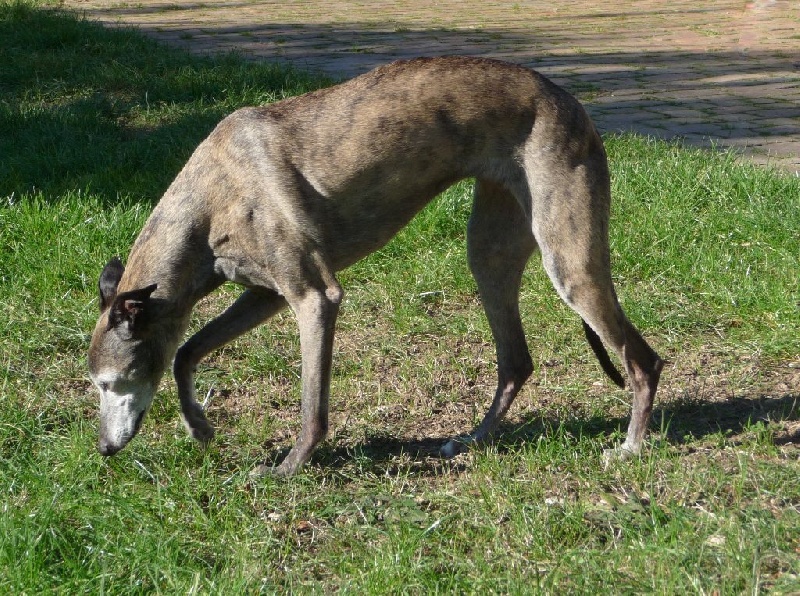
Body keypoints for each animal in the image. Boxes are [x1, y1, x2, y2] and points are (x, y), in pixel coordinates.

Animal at [87, 56, 664, 474]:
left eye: (109, 383)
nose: (103, 450)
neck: (208, 200)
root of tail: (568, 99)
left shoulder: (314, 298)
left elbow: (312, 408)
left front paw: (289, 468)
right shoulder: (266, 293)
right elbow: (185, 351)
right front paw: (200, 428)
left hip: (570, 263)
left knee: (644, 361)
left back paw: (630, 447)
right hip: (490, 255)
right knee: (515, 362)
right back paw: (471, 440)